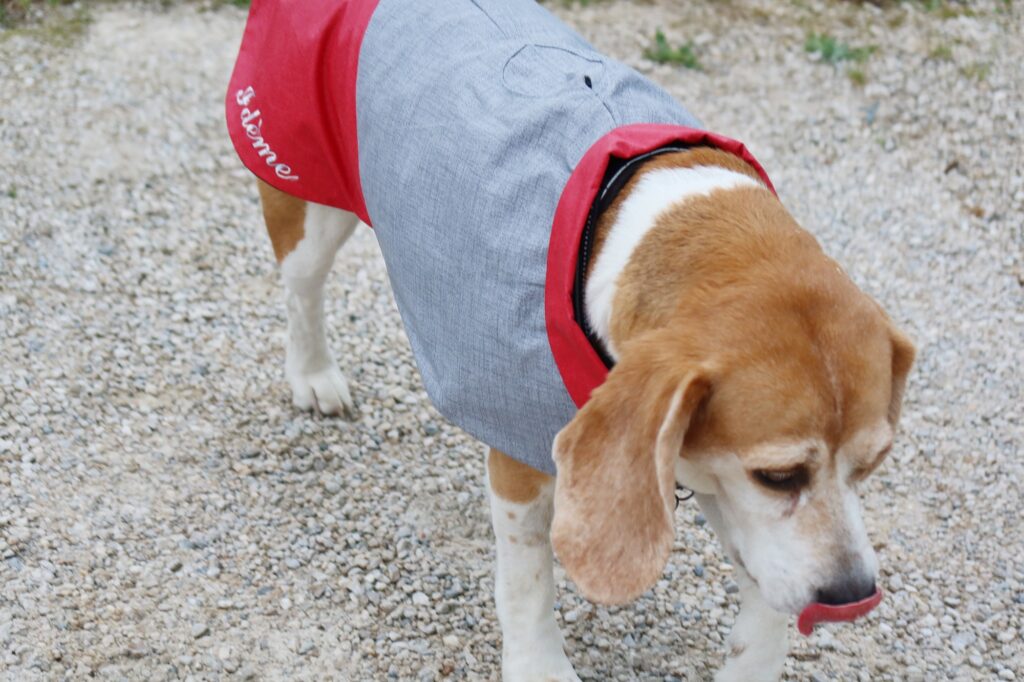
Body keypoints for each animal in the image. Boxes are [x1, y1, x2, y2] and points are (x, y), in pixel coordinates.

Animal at [222, 0, 913, 675]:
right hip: (306, 199)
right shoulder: (523, 459)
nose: (851, 595)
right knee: (301, 289)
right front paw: (539, 667)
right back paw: (314, 375)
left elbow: (766, 592)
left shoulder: (704, 464)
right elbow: (528, 586)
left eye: (873, 463)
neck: (640, 220)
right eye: (779, 476)